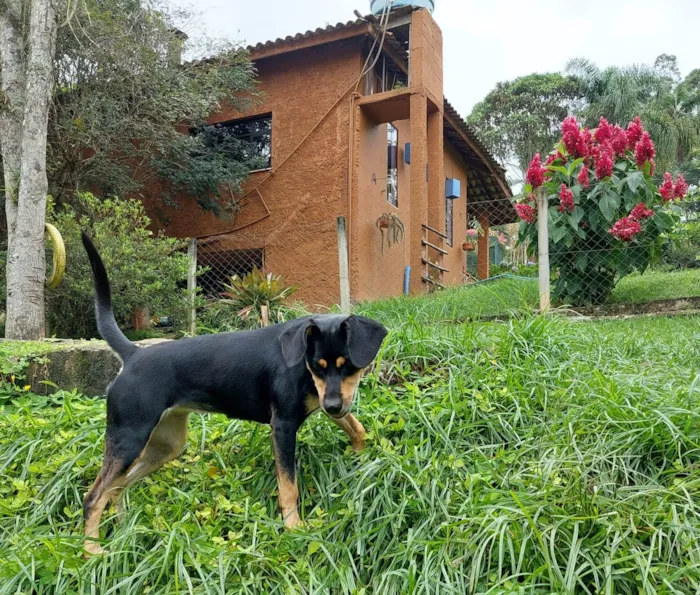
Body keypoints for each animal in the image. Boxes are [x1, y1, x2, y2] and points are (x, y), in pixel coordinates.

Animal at [83, 230, 388, 556]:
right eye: (317, 366)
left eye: (349, 366)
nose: (331, 406)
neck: (301, 363)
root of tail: (133, 354)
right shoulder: (284, 426)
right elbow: (288, 485)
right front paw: (293, 527)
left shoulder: (328, 401)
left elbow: (357, 428)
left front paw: (359, 457)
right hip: (129, 439)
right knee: (94, 497)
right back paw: (92, 551)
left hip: (165, 445)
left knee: (116, 488)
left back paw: (123, 533)